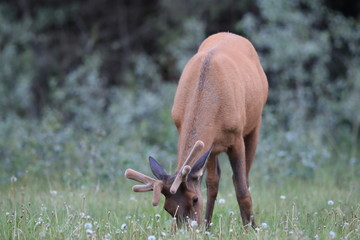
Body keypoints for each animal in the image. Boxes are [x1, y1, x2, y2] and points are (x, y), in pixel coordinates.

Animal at [124, 32, 268, 229]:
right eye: (168, 208)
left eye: (194, 199)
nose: (187, 230)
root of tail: (231, 34)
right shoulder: (193, 133)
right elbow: (211, 183)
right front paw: (206, 226)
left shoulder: (236, 137)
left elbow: (241, 188)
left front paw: (252, 229)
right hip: (213, 147)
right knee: (213, 182)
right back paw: (208, 225)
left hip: (254, 123)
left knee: (244, 177)